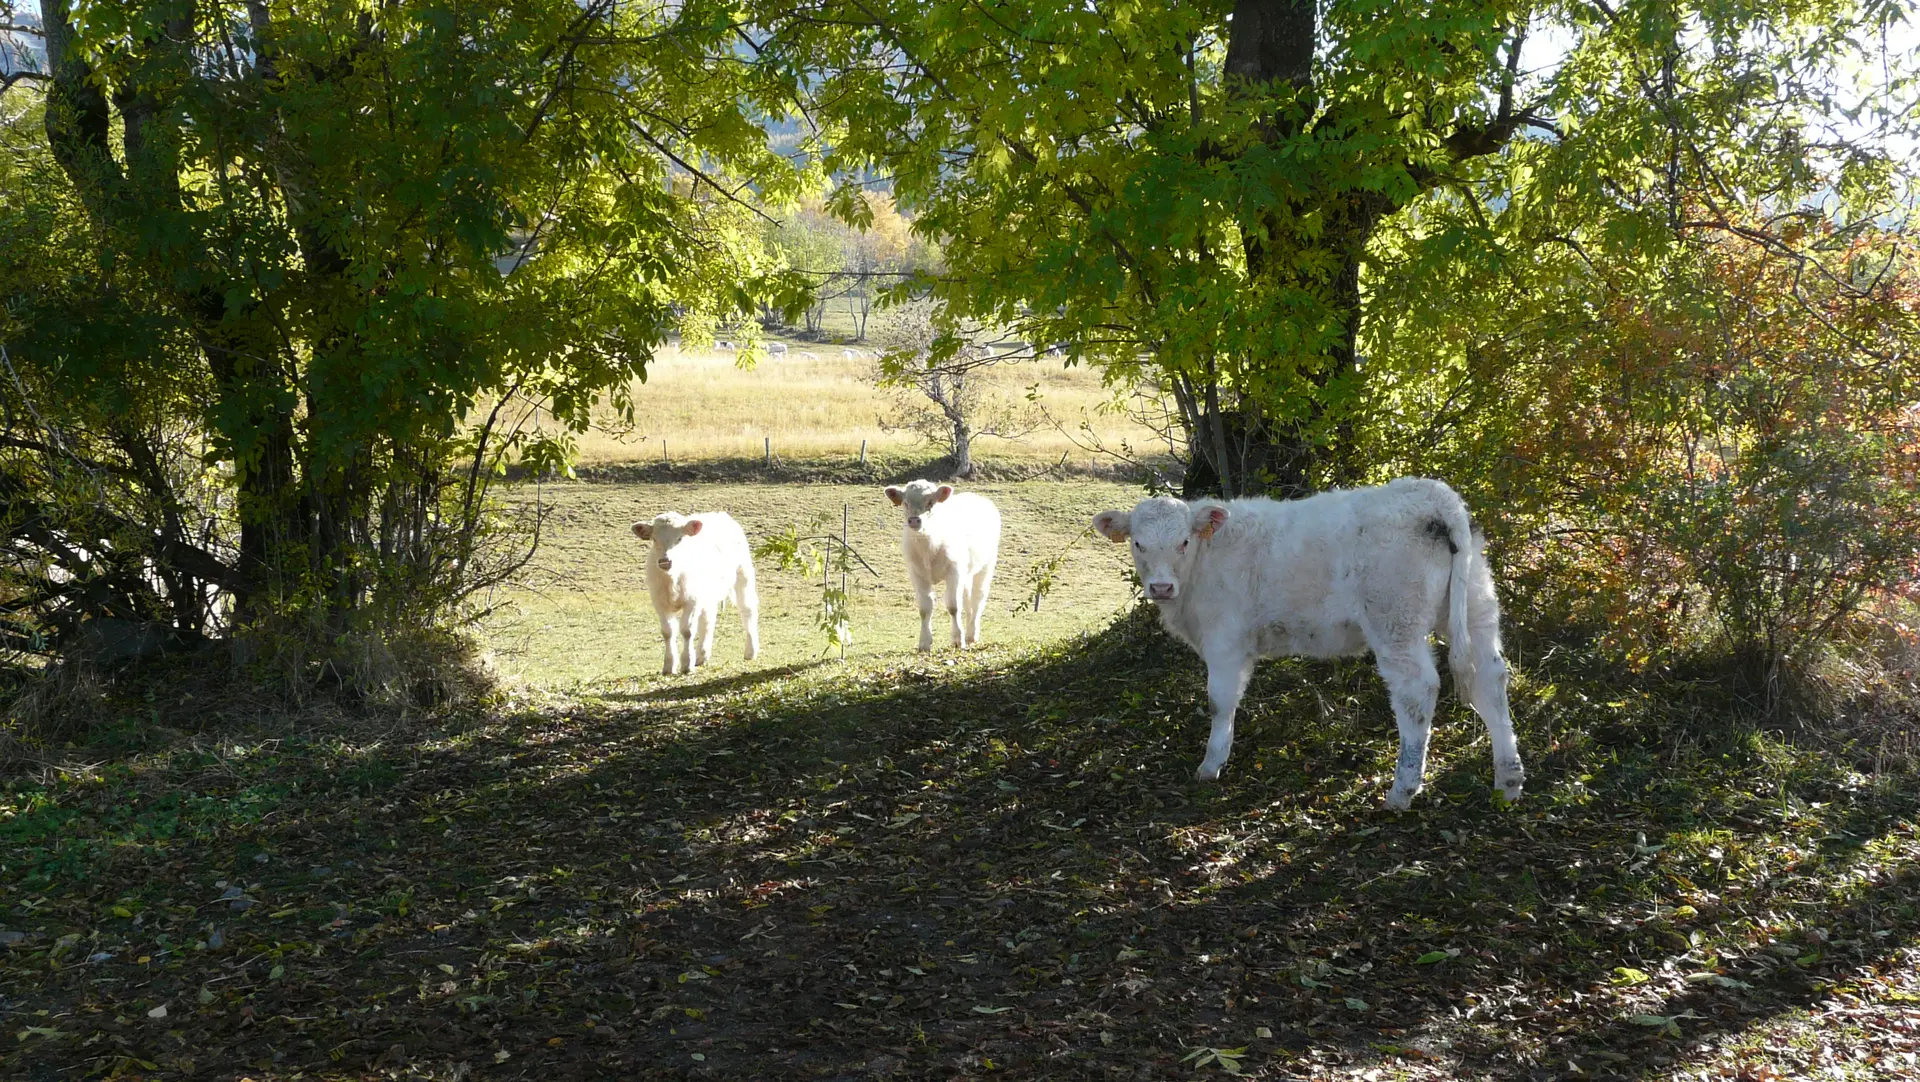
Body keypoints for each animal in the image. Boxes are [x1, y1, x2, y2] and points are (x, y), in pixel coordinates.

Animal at [632, 512, 760, 676]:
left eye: (680, 538)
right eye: (654, 539)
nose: (665, 561)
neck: (673, 579)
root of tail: (720, 514)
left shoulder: (691, 601)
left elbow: (687, 630)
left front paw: (687, 663)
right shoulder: (660, 603)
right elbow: (668, 632)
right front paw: (669, 665)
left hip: (743, 575)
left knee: (747, 611)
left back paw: (750, 651)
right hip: (708, 593)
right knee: (708, 620)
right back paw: (701, 655)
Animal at [885, 481, 1002, 651]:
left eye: (930, 502)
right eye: (905, 503)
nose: (914, 520)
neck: (929, 547)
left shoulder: (954, 571)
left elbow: (953, 606)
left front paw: (958, 640)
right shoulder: (917, 574)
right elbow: (925, 608)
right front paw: (924, 642)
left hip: (987, 564)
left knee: (978, 598)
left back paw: (972, 634)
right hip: (966, 571)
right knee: (967, 600)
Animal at [1091, 477, 1523, 809]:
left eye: (1183, 541)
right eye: (1138, 544)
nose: (1161, 587)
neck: (1203, 562)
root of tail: (1433, 495)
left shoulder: (1225, 641)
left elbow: (1219, 702)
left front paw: (1211, 765)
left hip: (1395, 622)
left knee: (1417, 692)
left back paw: (1402, 791)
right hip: (1476, 606)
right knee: (1491, 679)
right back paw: (1508, 781)